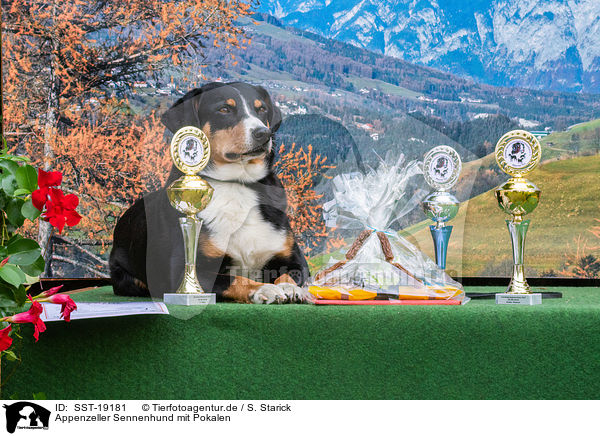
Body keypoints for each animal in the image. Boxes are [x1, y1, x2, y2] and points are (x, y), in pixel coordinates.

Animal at [108, 82, 312, 304]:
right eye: (224, 109)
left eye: (261, 109)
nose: (263, 133)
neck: (236, 184)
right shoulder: (185, 270)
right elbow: (236, 279)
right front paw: (263, 289)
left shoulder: (293, 258)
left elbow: (289, 274)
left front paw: (290, 288)